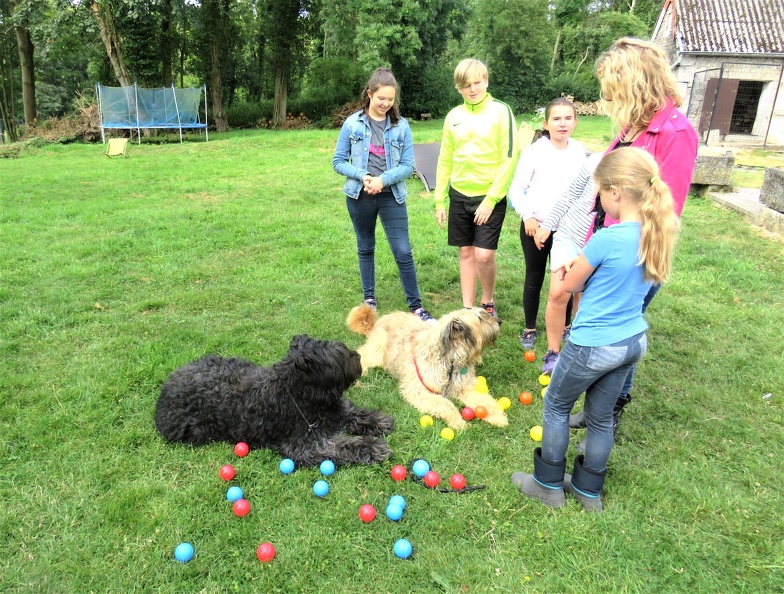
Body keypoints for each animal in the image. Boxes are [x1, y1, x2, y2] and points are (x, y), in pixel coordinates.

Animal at [155, 332, 396, 462]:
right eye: (338, 355)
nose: (357, 357)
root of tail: (166, 388)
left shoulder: (335, 412)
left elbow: (354, 413)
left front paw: (379, 421)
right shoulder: (305, 445)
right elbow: (342, 446)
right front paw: (373, 448)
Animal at [344, 302, 506, 428]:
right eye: (480, 318)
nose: (499, 322)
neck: (451, 359)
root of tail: (379, 320)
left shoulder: (465, 386)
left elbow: (483, 399)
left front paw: (498, 416)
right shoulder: (420, 391)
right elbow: (445, 404)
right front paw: (458, 422)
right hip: (377, 351)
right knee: (363, 355)